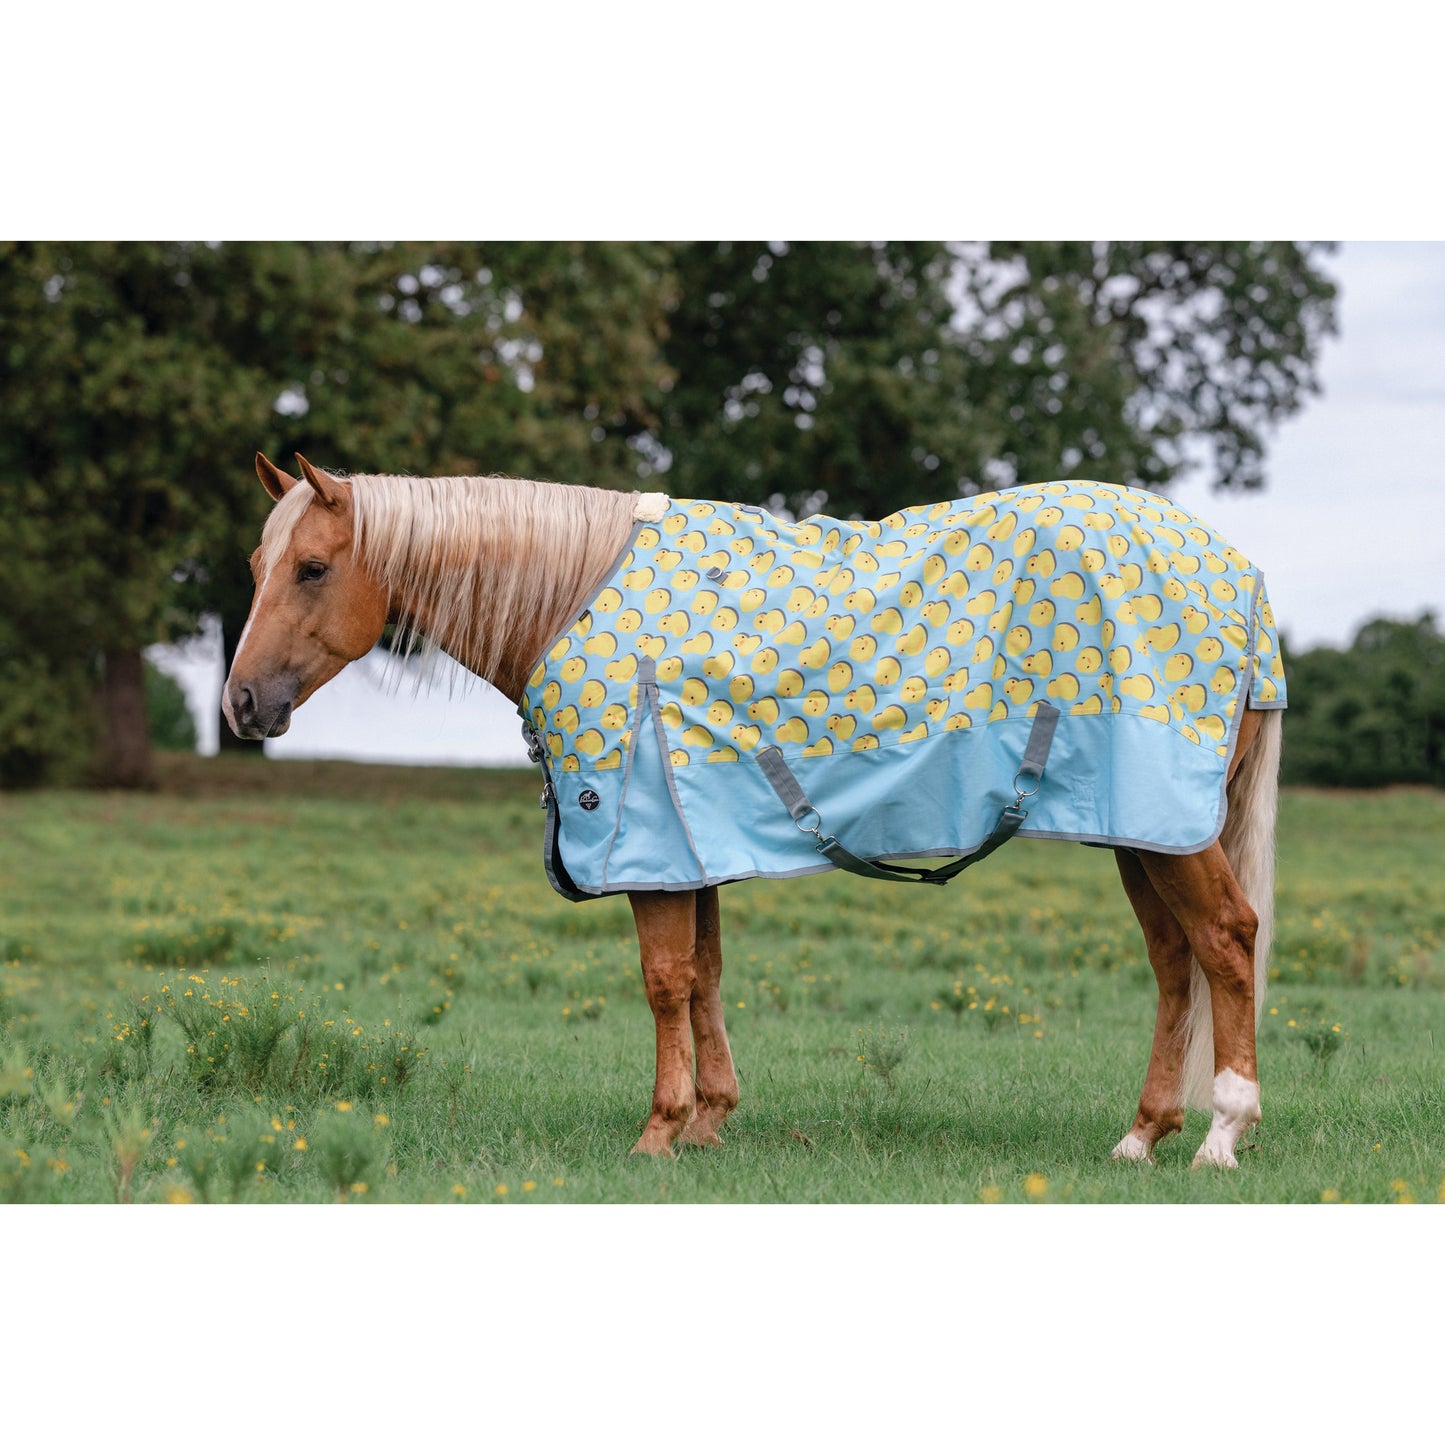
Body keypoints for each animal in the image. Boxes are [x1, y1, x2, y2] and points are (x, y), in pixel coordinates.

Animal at [225, 453, 1285, 1169]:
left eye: (312, 567)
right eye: (255, 564)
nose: (241, 704)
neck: (574, 594)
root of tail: (1239, 572)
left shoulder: (647, 839)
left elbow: (663, 980)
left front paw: (658, 1130)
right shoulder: (693, 841)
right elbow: (704, 976)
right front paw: (709, 1118)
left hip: (1167, 830)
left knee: (1226, 939)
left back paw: (1223, 1132)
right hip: (1139, 830)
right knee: (1174, 961)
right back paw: (1142, 1134)